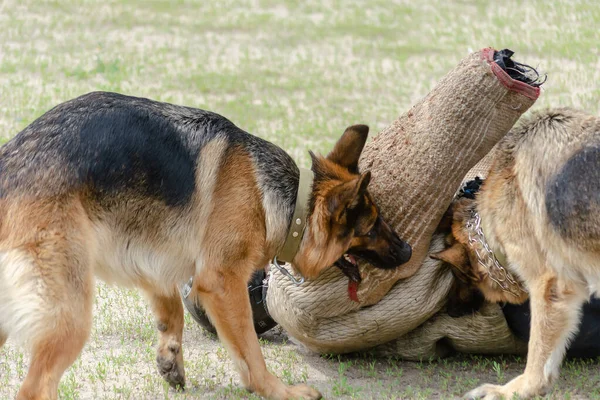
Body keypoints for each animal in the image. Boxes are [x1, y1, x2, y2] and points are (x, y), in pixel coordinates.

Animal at [0, 92, 412, 398]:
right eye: (372, 227)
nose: (408, 250)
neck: (289, 203)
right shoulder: (223, 282)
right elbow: (250, 349)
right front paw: (275, 390)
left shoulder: (156, 259)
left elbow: (172, 310)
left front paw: (170, 358)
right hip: (69, 316)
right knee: (34, 389)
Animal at [432, 108, 600, 398]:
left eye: (460, 275)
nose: (451, 311)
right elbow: (549, 354)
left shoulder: (547, 285)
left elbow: (538, 350)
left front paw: (514, 389)